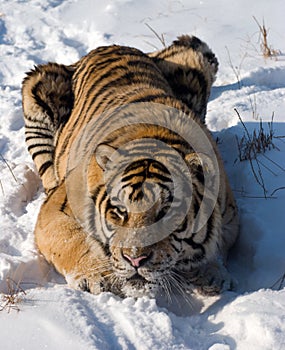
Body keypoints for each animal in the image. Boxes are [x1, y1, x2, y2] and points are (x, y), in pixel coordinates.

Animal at [21, 34, 237, 300]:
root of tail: (108, 46)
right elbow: (70, 240)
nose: (135, 259)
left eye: (166, 212)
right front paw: (98, 276)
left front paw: (211, 274)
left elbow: (219, 244)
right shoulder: (56, 208)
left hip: (197, 51)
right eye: (120, 210)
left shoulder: (229, 213)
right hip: (38, 83)